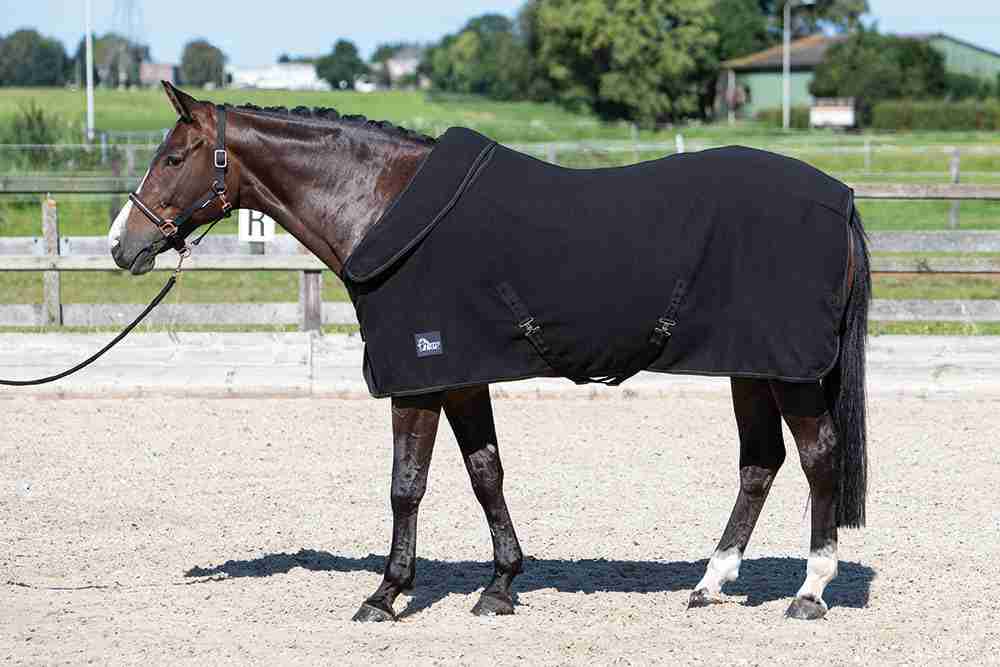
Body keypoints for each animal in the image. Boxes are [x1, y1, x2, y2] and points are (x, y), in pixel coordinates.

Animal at [109, 82, 870, 622]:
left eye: (172, 158)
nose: (122, 244)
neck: (383, 205)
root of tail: (840, 198)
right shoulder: (462, 376)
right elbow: (486, 473)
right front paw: (501, 584)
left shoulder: (419, 378)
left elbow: (406, 484)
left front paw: (385, 593)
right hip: (753, 366)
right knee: (760, 463)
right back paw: (711, 582)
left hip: (789, 374)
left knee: (818, 456)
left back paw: (811, 589)